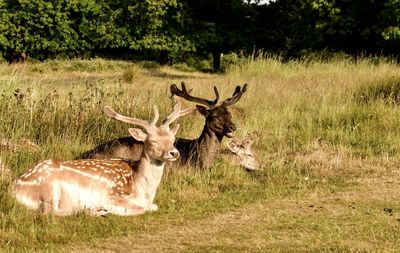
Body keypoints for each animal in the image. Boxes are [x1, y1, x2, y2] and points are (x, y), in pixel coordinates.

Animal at [10, 103, 192, 215]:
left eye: (172, 139)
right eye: (152, 140)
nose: (174, 153)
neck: (143, 189)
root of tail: (13, 187)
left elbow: (154, 207)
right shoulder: (114, 195)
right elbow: (140, 209)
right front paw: (110, 209)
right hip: (49, 188)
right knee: (49, 212)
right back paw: (94, 211)